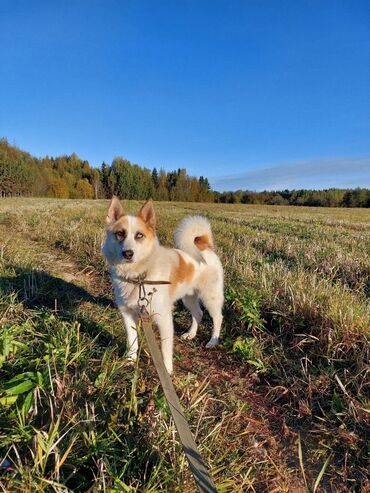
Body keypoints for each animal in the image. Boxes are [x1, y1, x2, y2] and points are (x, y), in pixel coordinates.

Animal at [99, 196, 224, 372]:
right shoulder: (127, 314)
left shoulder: (164, 319)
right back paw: (191, 334)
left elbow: (165, 349)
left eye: (139, 235)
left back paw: (213, 340)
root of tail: (204, 245)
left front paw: (167, 370)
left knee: (217, 318)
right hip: (189, 298)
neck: (140, 276)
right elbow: (132, 341)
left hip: (210, 297)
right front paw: (130, 360)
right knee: (198, 313)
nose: (128, 253)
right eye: (120, 234)